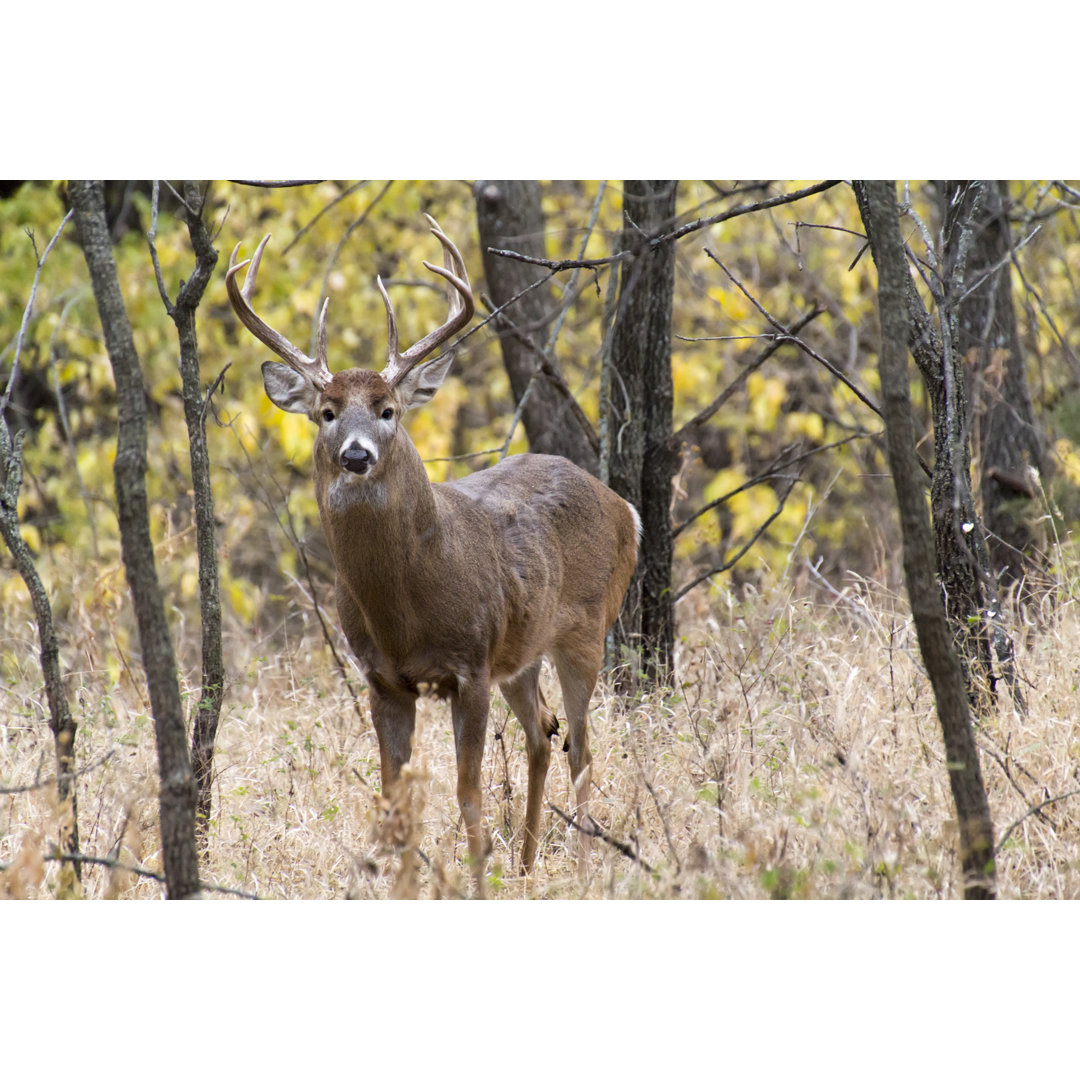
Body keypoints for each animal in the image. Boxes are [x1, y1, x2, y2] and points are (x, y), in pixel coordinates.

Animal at [223, 214, 635, 889]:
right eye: (326, 412)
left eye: (388, 410)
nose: (356, 454)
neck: (404, 609)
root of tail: (625, 508)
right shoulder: (383, 679)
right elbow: (394, 800)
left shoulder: (470, 665)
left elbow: (468, 795)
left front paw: (476, 885)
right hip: (521, 652)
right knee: (542, 735)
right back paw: (527, 866)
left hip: (586, 633)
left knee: (582, 748)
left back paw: (576, 870)